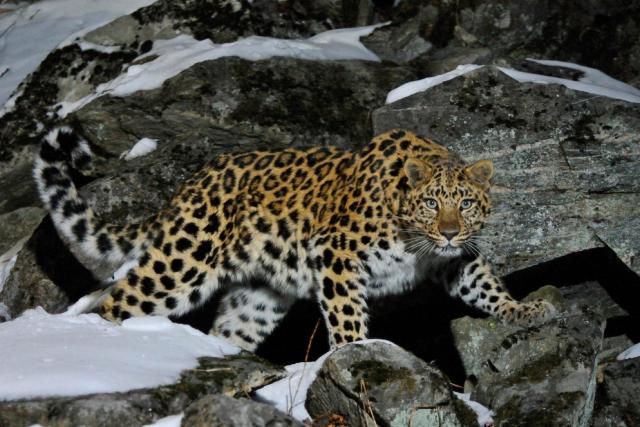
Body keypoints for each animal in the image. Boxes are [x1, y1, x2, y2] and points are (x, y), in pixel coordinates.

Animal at [34, 127, 556, 351]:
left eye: (465, 204)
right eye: (431, 202)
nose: (448, 231)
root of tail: (187, 187)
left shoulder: (455, 260)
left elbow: (485, 286)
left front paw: (525, 309)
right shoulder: (336, 254)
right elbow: (346, 316)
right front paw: (356, 352)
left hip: (258, 298)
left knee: (228, 331)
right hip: (182, 265)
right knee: (116, 299)